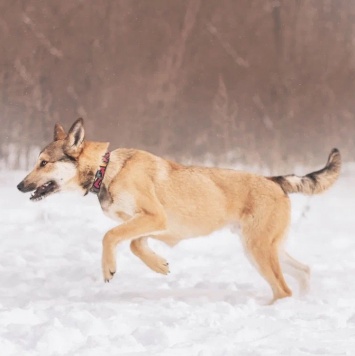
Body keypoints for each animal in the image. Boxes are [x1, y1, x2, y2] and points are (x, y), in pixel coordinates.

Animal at [16, 119, 342, 304]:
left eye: (43, 163)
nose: (19, 186)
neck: (106, 170)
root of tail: (274, 180)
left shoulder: (153, 217)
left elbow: (110, 237)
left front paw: (109, 268)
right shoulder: (147, 224)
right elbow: (134, 244)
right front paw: (159, 265)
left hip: (259, 251)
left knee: (283, 289)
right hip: (264, 249)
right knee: (303, 273)